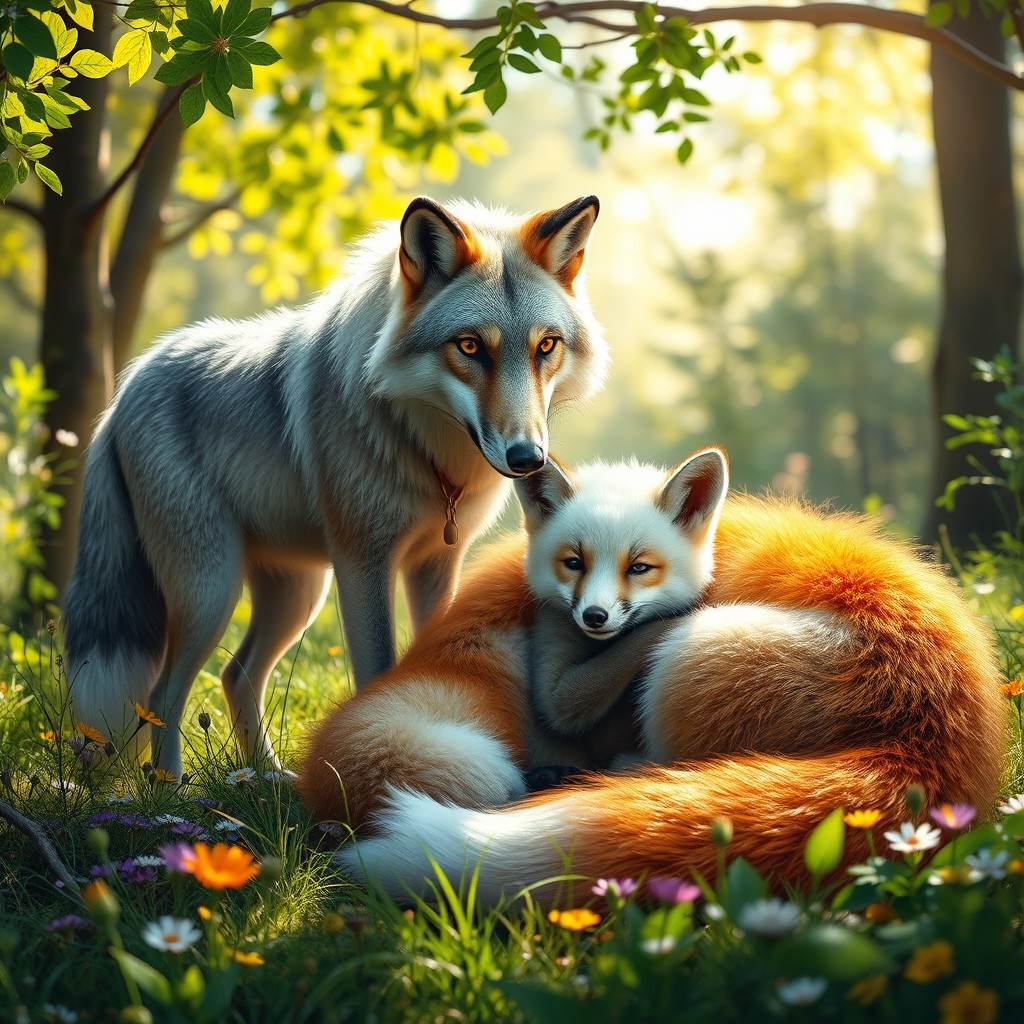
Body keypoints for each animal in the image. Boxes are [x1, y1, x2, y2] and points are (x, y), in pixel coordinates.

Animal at [62, 195, 607, 779]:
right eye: (469, 347)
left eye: (545, 346)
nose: (528, 458)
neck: (433, 464)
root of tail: (126, 386)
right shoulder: (362, 563)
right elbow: (377, 671)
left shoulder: (437, 564)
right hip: (212, 593)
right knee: (161, 696)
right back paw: (171, 788)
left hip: (295, 596)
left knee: (236, 675)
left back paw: (266, 779)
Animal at [298, 447, 1007, 904]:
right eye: (574, 561)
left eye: (640, 566)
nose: (593, 615)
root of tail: (923, 738)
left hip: (688, 655)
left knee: (661, 763)